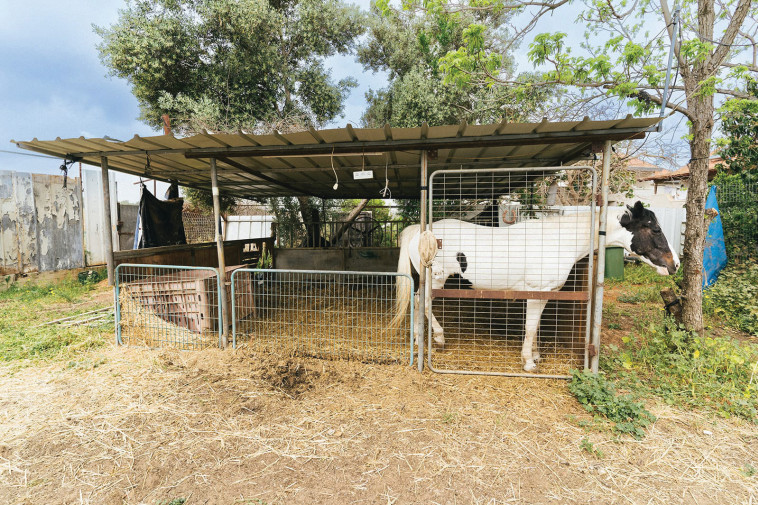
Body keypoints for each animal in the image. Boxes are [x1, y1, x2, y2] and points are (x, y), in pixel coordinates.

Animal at [394, 201, 680, 370]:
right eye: (654, 229)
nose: (674, 264)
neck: (558, 240)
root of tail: (421, 231)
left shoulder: (545, 294)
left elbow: (537, 325)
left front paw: (535, 354)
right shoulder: (535, 292)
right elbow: (531, 327)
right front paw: (528, 362)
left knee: (419, 303)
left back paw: (419, 339)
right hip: (436, 278)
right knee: (424, 303)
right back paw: (437, 338)